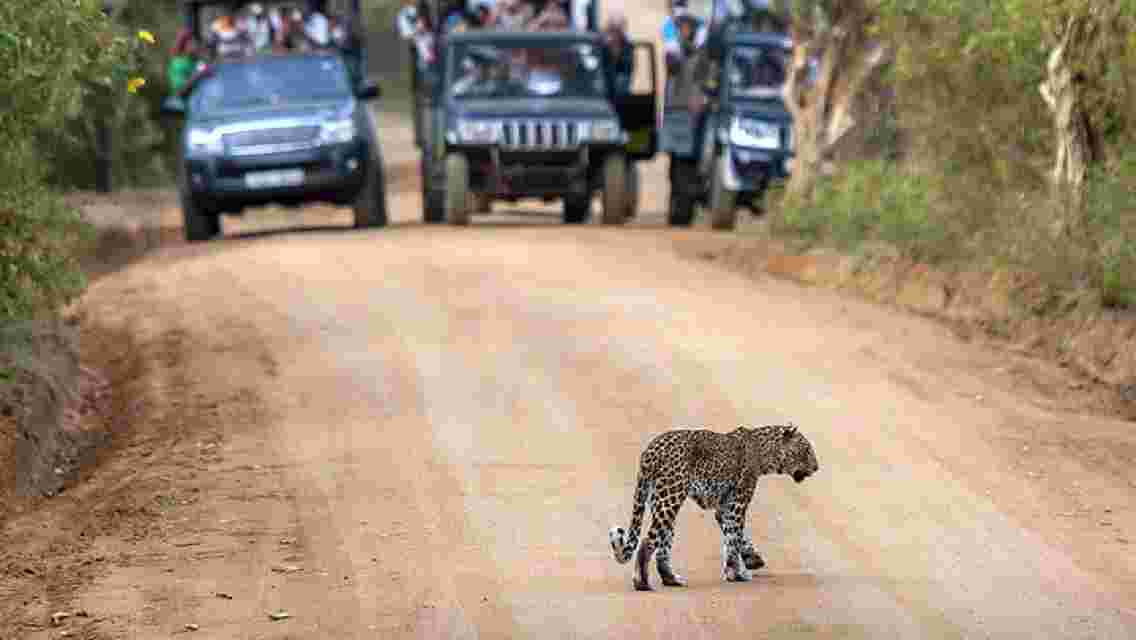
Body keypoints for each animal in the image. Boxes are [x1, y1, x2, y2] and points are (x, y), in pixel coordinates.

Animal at [608, 422, 822, 595]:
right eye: (806, 450)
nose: (816, 468)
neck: (764, 452)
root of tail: (650, 450)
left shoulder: (724, 507)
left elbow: (734, 537)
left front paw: (749, 561)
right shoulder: (738, 501)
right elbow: (734, 537)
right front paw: (737, 573)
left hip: (660, 499)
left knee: (663, 543)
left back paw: (671, 579)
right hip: (671, 496)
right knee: (647, 541)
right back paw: (642, 583)